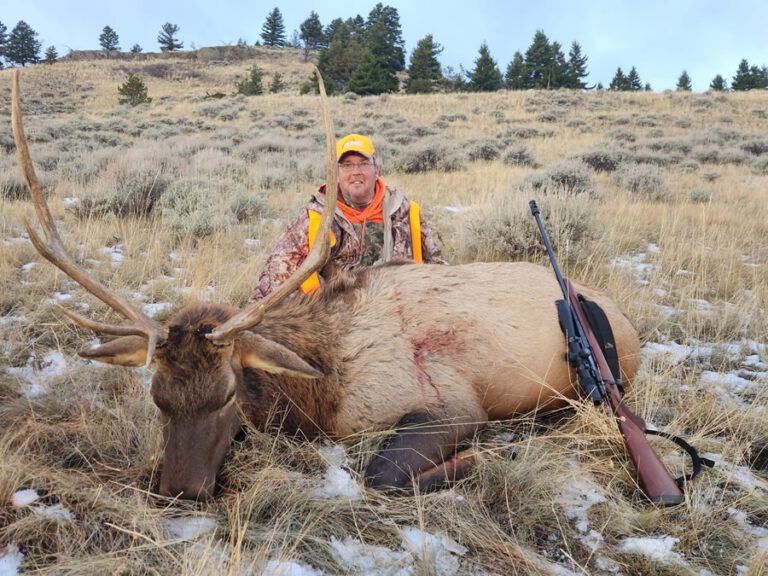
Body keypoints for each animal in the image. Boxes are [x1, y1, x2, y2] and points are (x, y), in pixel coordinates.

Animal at [11, 69, 641, 500]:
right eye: (158, 398)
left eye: (229, 395)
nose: (181, 491)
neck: (324, 384)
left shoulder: (452, 402)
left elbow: (380, 473)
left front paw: (481, 460)